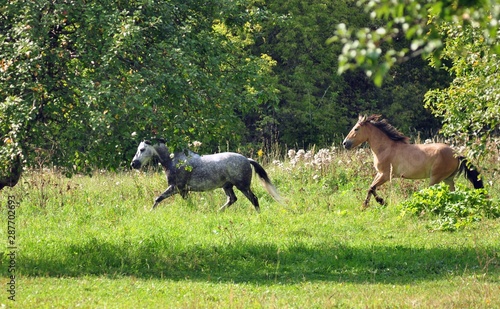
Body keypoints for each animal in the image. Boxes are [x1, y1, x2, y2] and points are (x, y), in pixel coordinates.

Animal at [131, 138, 284, 211]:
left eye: (142, 149)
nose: (134, 164)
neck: (174, 160)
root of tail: (247, 159)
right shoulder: (182, 190)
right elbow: (186, 202)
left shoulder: (176, 187)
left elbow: (158, 199)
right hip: (227, 186)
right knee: (232, 199)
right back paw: (217, 212)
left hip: (242, 186)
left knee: (254, 199)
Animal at [342, 114, 482, 208]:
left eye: (356, 129)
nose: (345, 143)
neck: (386, 148)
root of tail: (457, 155)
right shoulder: (379, 173)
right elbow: (371, 188)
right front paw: (366, 205)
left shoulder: (386, 175)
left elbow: (372, 188)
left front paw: (381, 202)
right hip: (448, 179)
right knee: (453, 192)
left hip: (435, 178)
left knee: (431, 191)